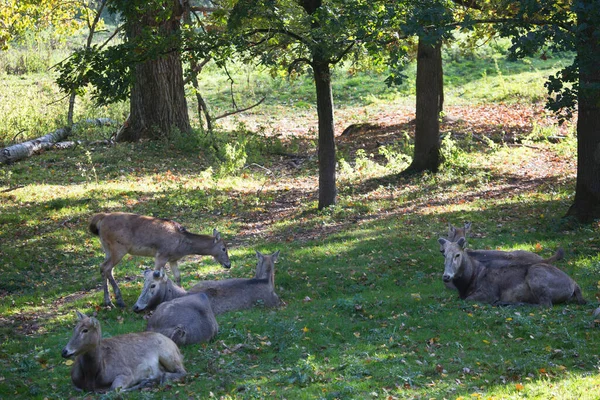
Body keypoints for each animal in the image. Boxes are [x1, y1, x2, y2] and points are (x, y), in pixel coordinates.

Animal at [88, 211, 231, 308]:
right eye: (224, 248)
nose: (228, 264)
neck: (182, 246)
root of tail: (101, 219)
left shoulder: (173, 259)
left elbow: (178, 277)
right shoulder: (161, 255)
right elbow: (156, 276)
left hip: (107, 248)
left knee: (103, 267)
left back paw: (108, 301)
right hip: (118, 247)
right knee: (106, 268)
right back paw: (118, 300)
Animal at [436, 238, 584, 306]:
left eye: (457, 255)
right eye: (444, 254)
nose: (446, 276)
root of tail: (574, 285)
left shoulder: (488, 293)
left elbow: (469, 300)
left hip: (536, 273)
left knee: (545, 305)